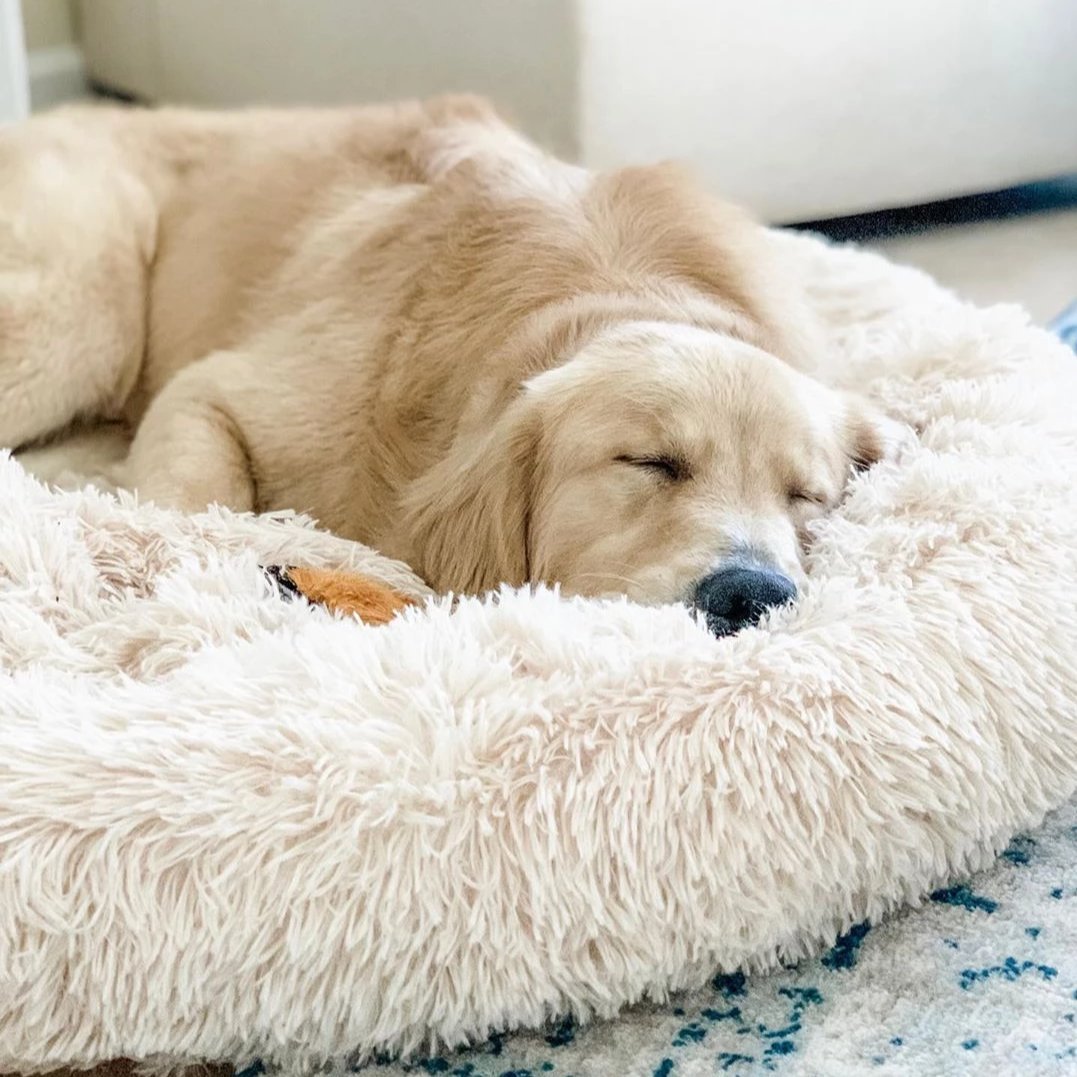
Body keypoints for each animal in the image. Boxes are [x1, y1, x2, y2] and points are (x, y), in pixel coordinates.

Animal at [2, 94, 891, 628]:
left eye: (806, 495)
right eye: (648, 462)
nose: (754, 594)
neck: (608, 290)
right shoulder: (216, 391)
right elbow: (198, 502)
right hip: (82, 313)